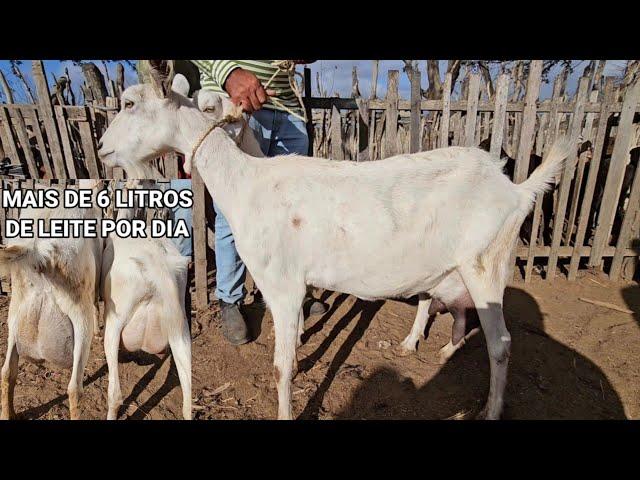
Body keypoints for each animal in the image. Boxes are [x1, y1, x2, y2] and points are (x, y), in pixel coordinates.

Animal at [0, 181, 102, 420]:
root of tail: (38, 251)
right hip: (79, 317)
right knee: (74, 388)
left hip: (15, 314)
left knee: (7, 371)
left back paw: (8, 414)